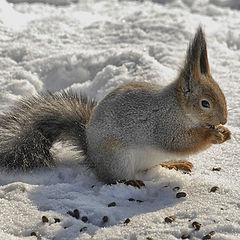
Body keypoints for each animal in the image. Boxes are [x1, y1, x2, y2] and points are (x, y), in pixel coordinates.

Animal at [0, 26, 231, 184]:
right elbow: (180, 142)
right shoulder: (163, 125)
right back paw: (131, 181)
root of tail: (93, 157)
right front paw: (213, 135)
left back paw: (174, 163)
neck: (179, 109)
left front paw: (225, 132)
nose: (224, 119)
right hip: (117, 158)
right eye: (205, 103)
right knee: (112, 179)